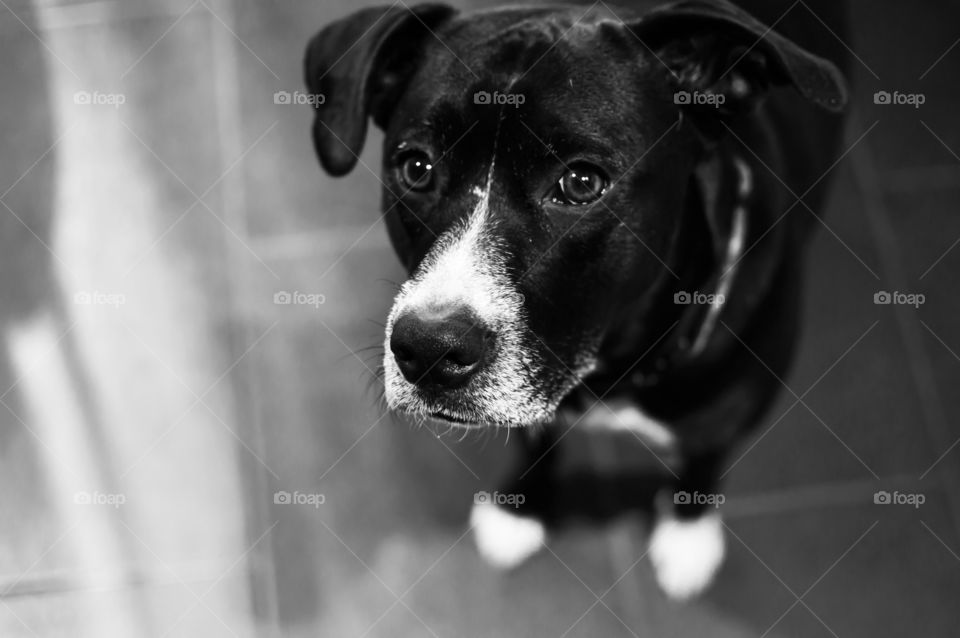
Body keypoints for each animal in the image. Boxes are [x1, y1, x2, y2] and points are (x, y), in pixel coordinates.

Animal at [306, 0, 848, 600]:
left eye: (582, 182)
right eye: (416, 168)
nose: (428, 350)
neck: (611, 368)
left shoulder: (730, 410)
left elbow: (704, 457)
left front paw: (688, 534)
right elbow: (536, 439)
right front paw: (520, 507)